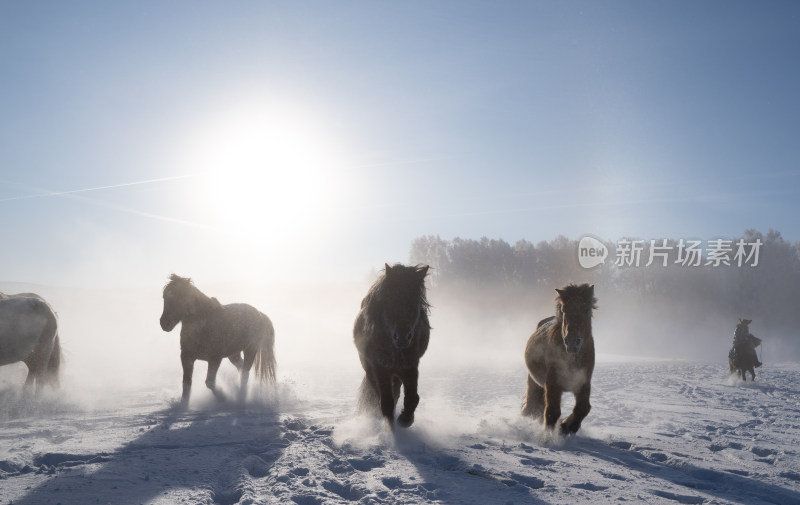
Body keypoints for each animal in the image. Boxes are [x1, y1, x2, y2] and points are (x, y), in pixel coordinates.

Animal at [159, 274, 278, 404]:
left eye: (180, 297)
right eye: (164, 297)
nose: (164, 323)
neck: (204, 324)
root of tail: (259, 314)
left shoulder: (215, 359)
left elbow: (210, 382)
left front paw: (223, 397)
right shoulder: (187, 357)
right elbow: (186, 383)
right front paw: (183, 405)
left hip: (250, 350)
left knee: (245, 373)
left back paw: (241, 397)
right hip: (234, 354)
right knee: (241, 369)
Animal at [354, 262, 432, 428]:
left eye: (414, 301)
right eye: (389, 299)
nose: (402, 337)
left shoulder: (410, 366)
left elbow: (412, 397)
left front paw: (405, 420)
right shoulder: (380, 368)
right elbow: (386, 402)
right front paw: (391, 427)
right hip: (370, 369)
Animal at [520, 284, 596, 434]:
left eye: (586, 310)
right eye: (564, 310)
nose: (572, 342)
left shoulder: (583, 383)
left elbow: (583, 408)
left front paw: (566, 427)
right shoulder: (553, 384)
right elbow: (552, 412)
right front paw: (549, 436)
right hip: (534, 381)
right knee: (531, 404)